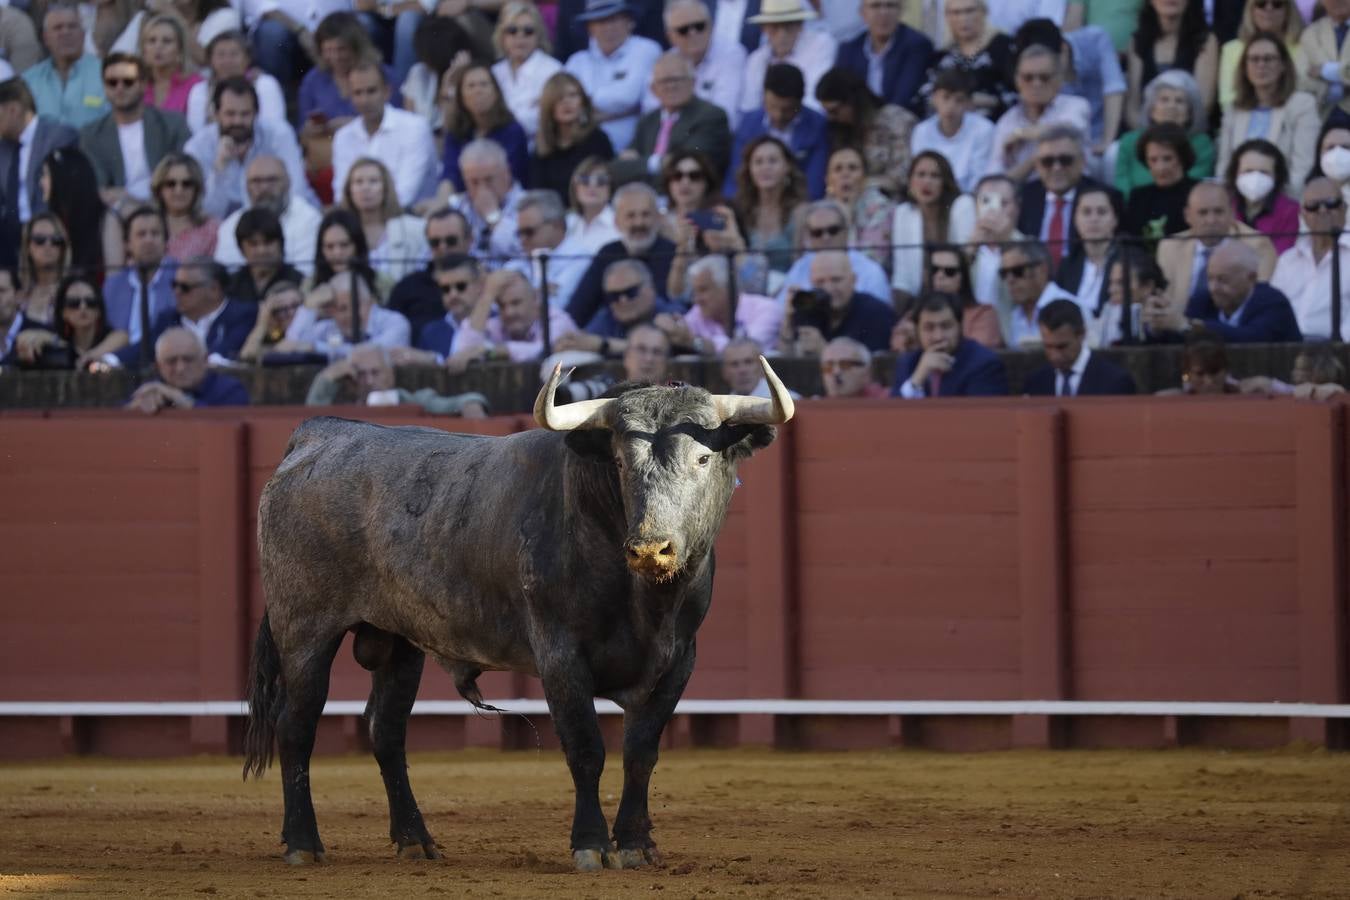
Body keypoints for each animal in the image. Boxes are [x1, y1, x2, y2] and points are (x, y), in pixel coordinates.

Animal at [243, 358, 793, 874]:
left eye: (703, 456)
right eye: (619, 461)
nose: (650, 549)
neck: (644, 601)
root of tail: (320, 434)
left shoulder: (679, 660)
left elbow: (641, 753)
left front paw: (636, 845)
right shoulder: (560, 656)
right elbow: (586, 749)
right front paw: (591, 846)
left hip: (399, 642)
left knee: (387, 730)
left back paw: (415, 840)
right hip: (304, 629)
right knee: (297, 724)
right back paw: (303, 843)